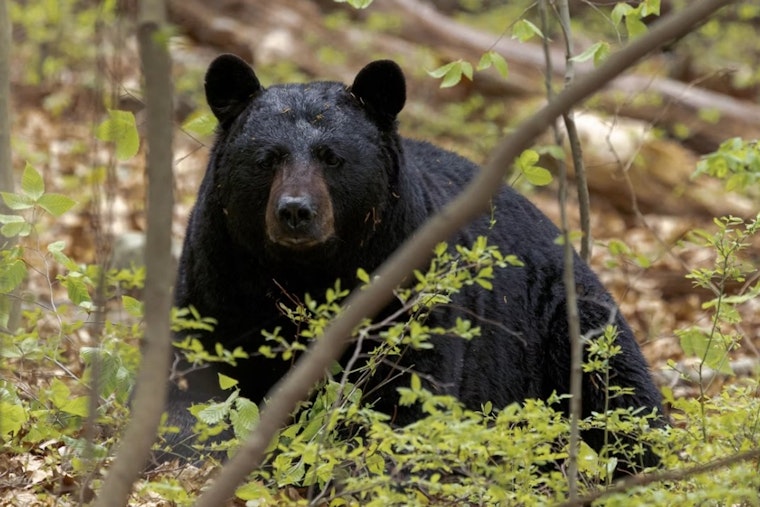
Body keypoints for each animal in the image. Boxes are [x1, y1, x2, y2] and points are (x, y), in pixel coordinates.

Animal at [162, 54, 665, 473]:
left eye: (332, 157)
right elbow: (195, 379)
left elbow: (409, 392)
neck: (306, 273)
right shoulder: (219, 275)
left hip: (565, 321)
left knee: (620, 391)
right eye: (267, 158)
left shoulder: (408, 287)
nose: (296, 211)